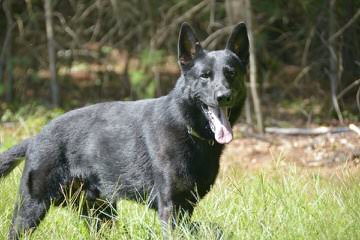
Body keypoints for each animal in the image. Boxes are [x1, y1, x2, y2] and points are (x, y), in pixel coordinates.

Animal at [0, 22, 248, 238]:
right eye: (205, 75)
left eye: (231, 73)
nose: (224, 96)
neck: (186, 126)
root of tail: (35, 137)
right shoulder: (170, 207)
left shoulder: (185, 208)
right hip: (30, 210)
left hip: (101, 215)